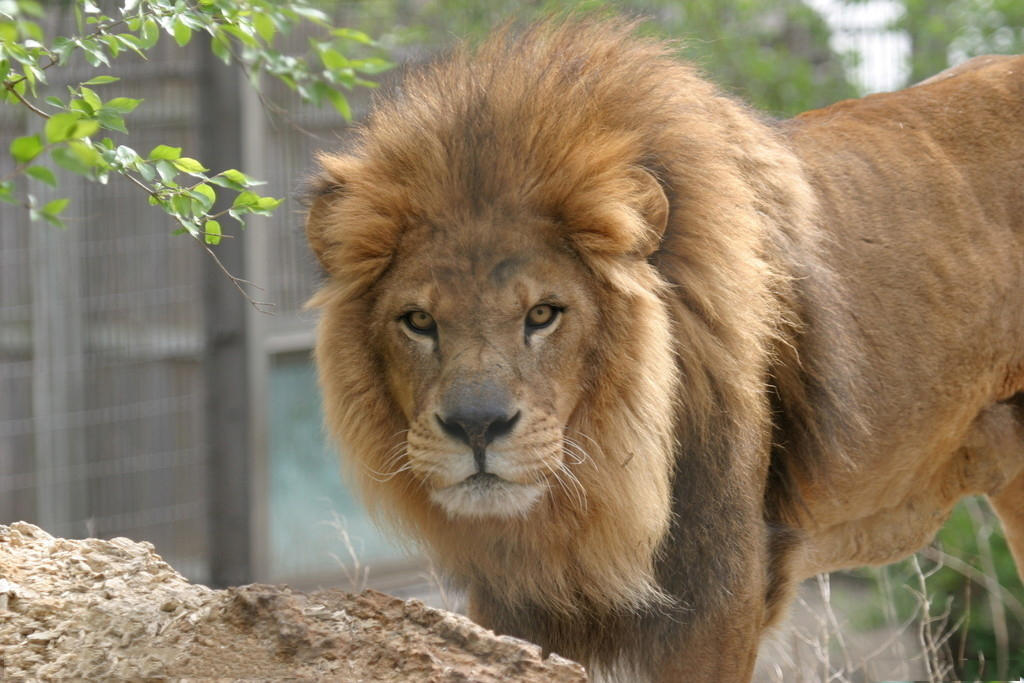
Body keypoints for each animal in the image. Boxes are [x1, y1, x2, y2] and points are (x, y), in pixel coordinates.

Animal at [303, 20, 1024, 683]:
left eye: (543, 314)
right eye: (418, 321)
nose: (476, 427)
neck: (591, 495)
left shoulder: (717, 593)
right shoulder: (512, 599)